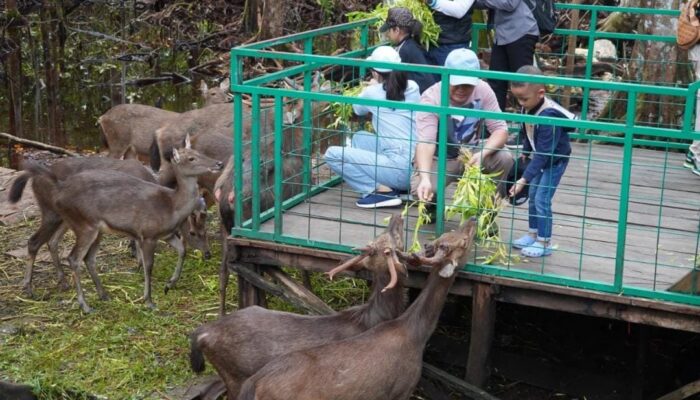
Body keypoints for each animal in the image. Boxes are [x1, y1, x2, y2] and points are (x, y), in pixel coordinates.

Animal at [19, 141, 223, 312]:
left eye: (199, 152)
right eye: (191, 158)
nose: (219, 163)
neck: (172, 206)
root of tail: (59, 192)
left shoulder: (166, 234)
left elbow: (182, 250)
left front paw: (169, 283)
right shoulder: (147, 233)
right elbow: (149, 265)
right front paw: (149, 300)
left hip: (92, 228)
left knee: (85, 256)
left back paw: (102, 294)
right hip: (83, 224)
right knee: (72, 257)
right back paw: (83, 305)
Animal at [190, 214, 410, 396]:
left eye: (383, 234)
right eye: (392, 242)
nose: (397, 217)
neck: (375, 316)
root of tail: (202, 332)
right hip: (235, 375)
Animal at [238, 217, 478, 400]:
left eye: (450, 234)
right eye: (465, 242)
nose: (473, 219)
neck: (416, 335)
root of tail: (253, 385)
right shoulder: (402, 389)